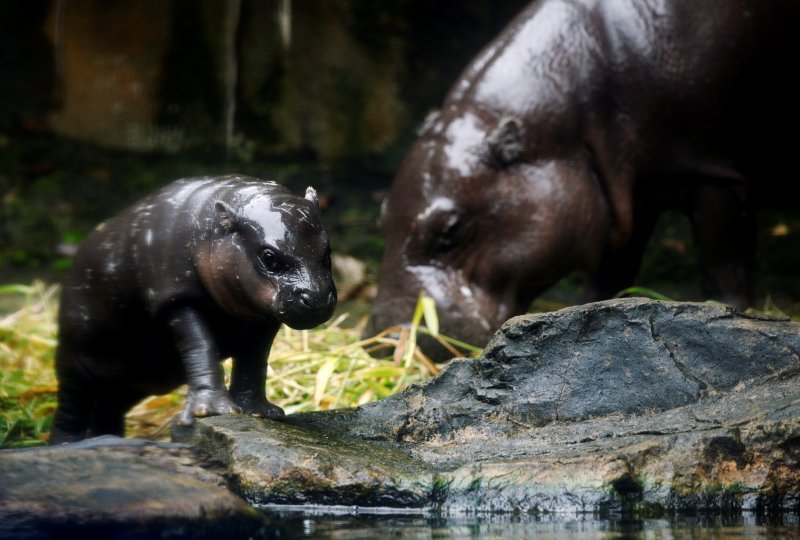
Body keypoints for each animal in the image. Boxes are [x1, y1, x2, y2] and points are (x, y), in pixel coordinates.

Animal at [49, 177, 338, 442]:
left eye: (328, 249)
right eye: (269, 257)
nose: (317, 298)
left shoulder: (263, 319)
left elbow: (254, 360)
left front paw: (260, 412)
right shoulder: (178, 301)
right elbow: (200, 346)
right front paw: (211, 411)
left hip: (132, 378)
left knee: (108, 407)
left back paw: (108, 440)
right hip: (76, 360)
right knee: (71, 408)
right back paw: (66, 444)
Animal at [368, 0, 800, 358]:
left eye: (451, 229)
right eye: (383, 218)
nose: (389, 339)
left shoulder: (714, 174)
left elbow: (724, 267)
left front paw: (730, 314)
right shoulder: (627, 196)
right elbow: (612, 272)